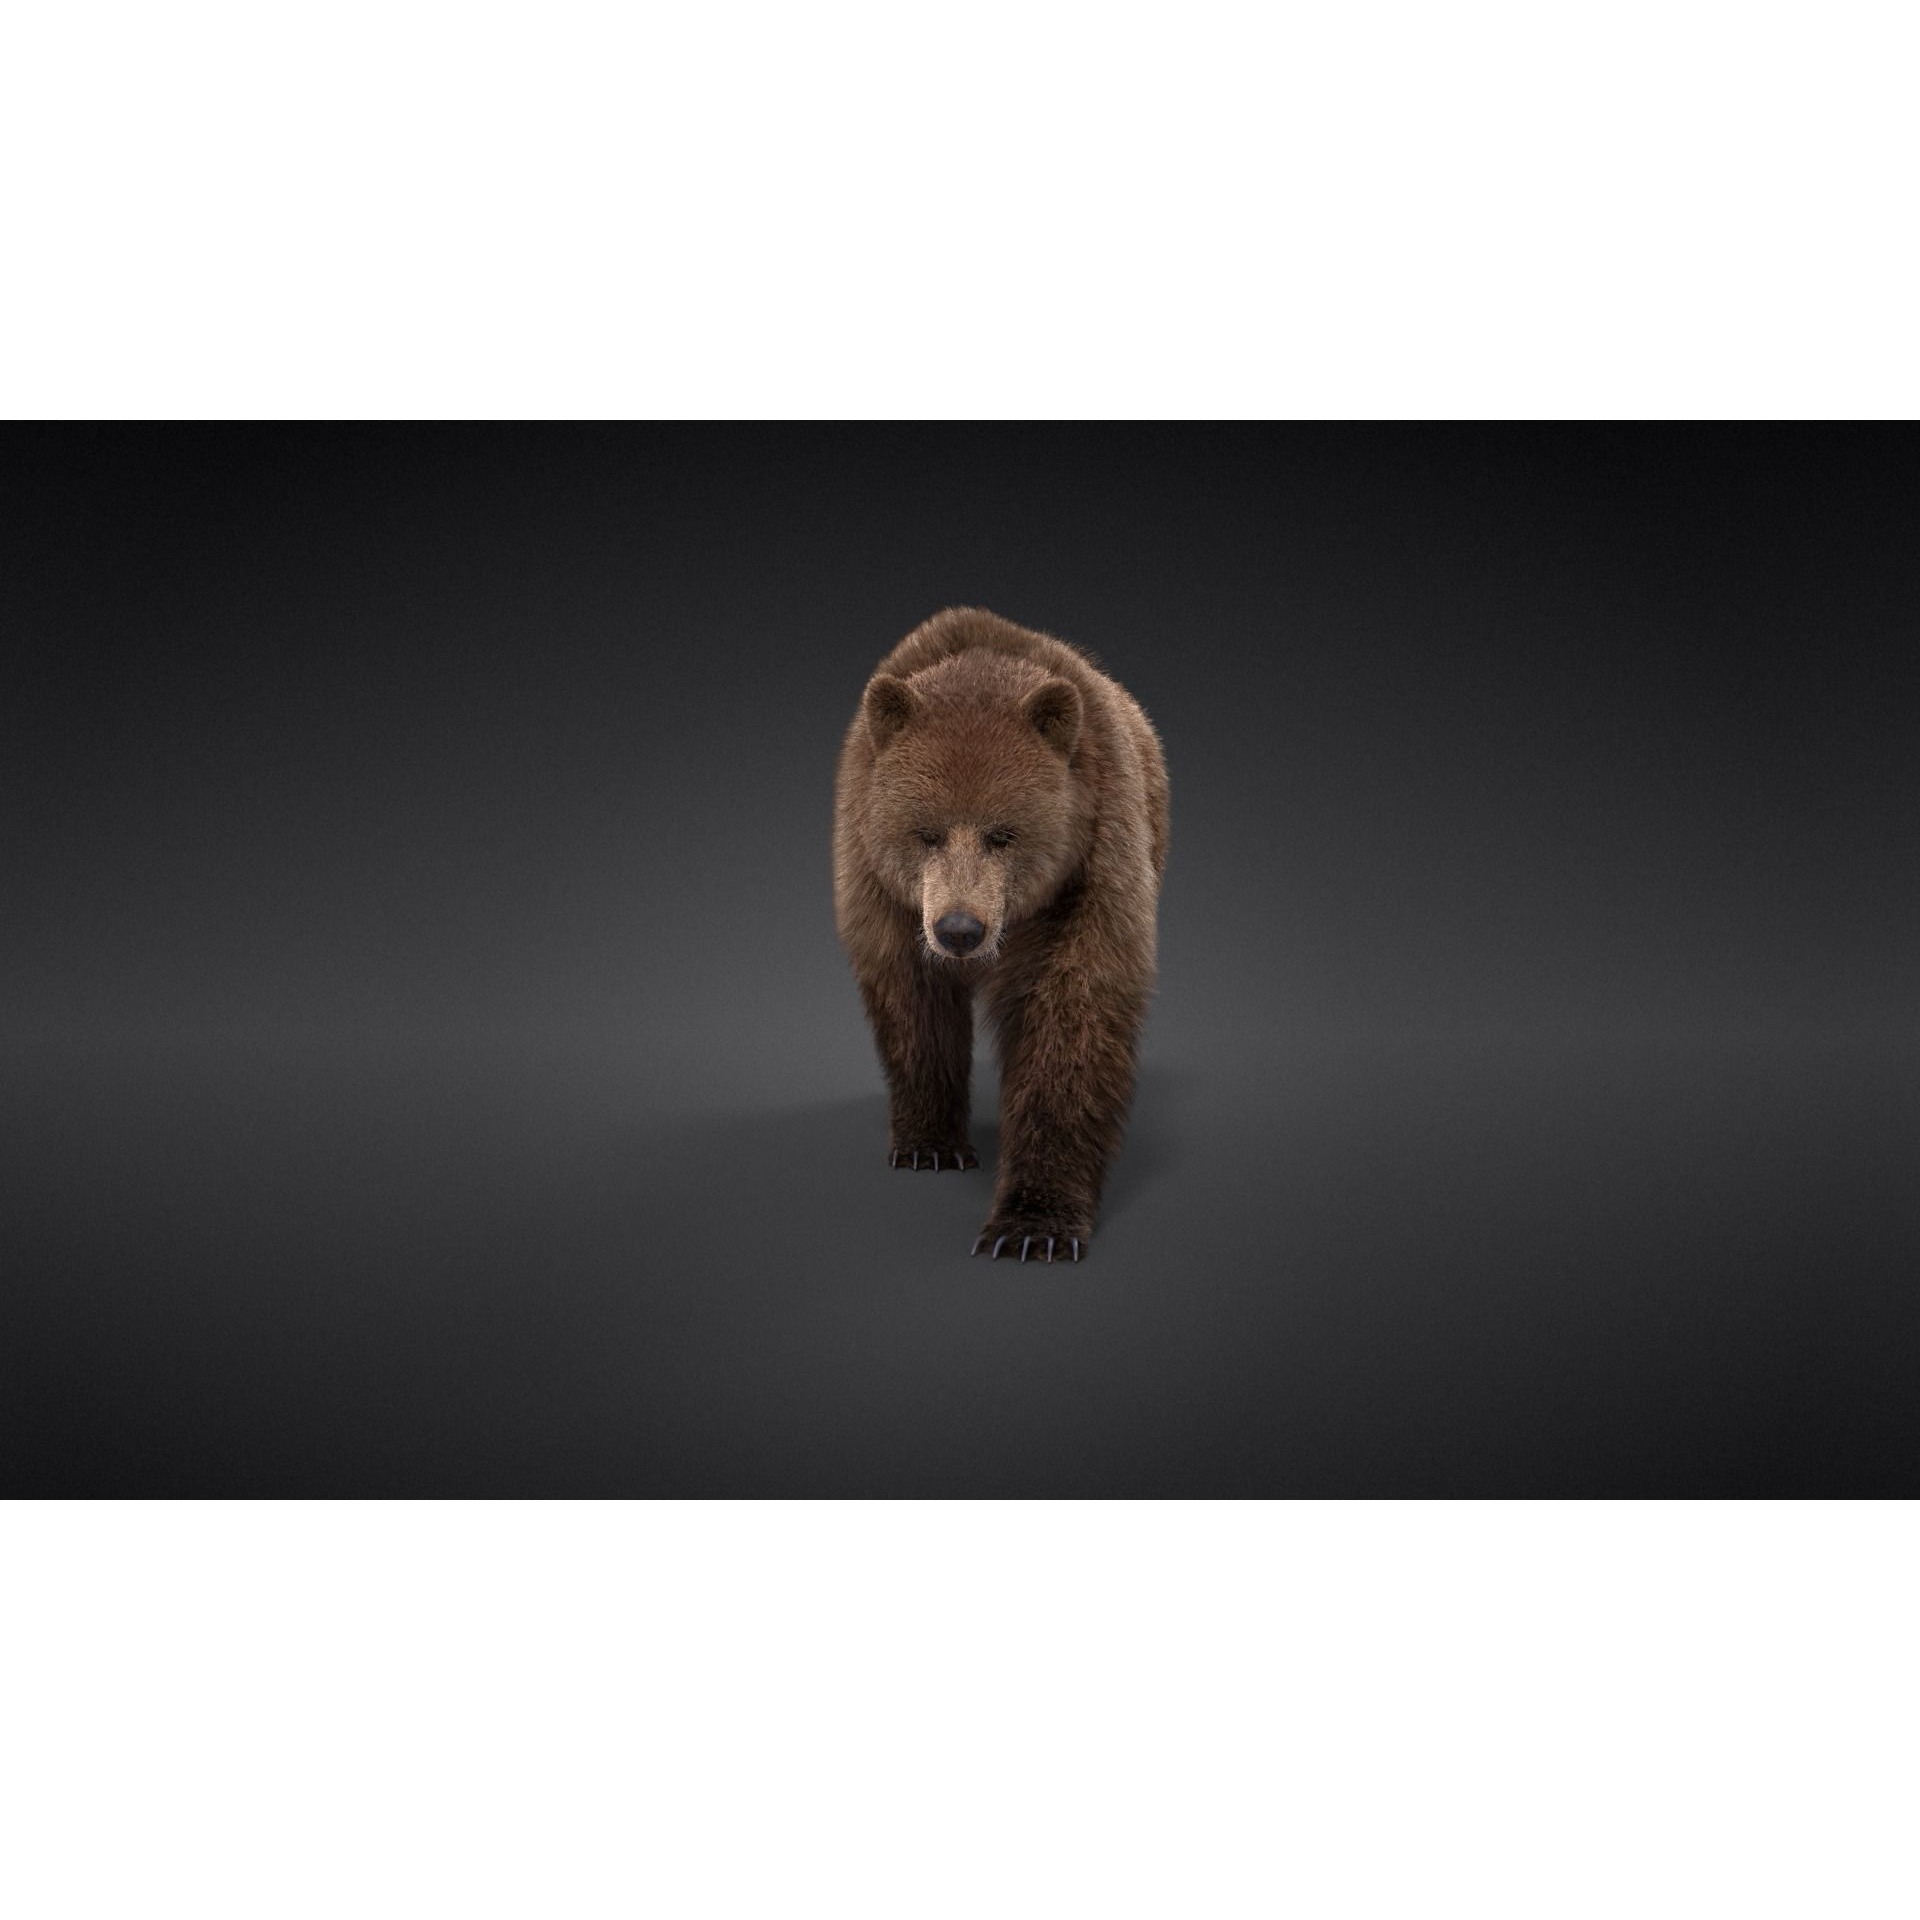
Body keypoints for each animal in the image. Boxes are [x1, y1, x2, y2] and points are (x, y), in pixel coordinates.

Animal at [833, 606, 1169, 1262]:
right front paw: (929, 1142)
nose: (960, 928)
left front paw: (1034, 1223)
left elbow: (1071, 1021)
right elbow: (912, 1006)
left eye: (1003, 833)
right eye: (926, 831)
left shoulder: (1091, 868)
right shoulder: (880, 885)